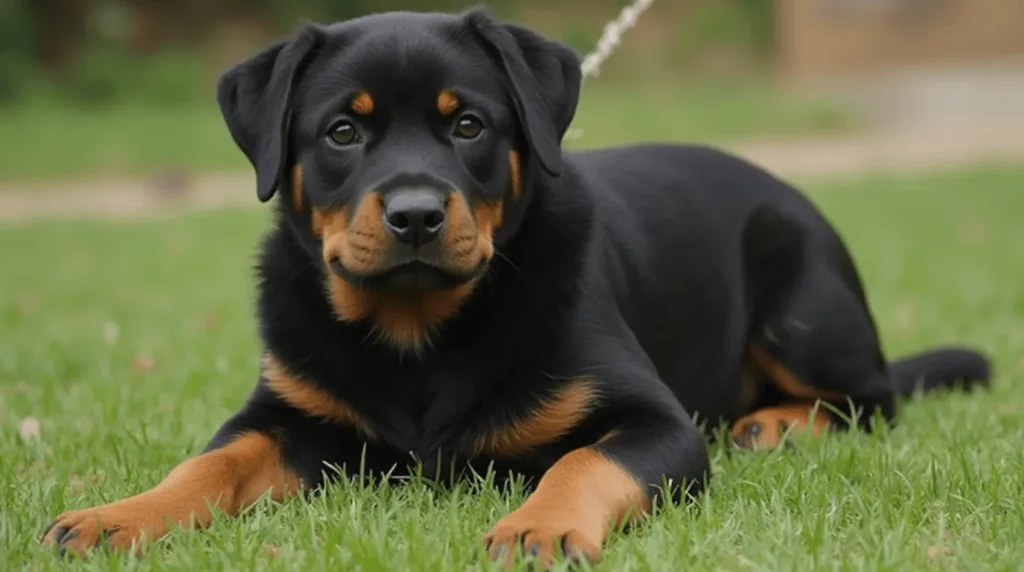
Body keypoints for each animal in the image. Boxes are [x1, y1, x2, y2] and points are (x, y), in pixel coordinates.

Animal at [41, 7, 991, 568]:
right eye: (343, 131)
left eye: (468, 124)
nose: (416, 215)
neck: (418, 332)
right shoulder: (286, 414)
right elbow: (210, 462)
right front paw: (115, 516)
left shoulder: (657, 420)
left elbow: (583, 457)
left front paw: (539, 525)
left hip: (803, 305)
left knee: (870, 397)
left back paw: (777, 424)